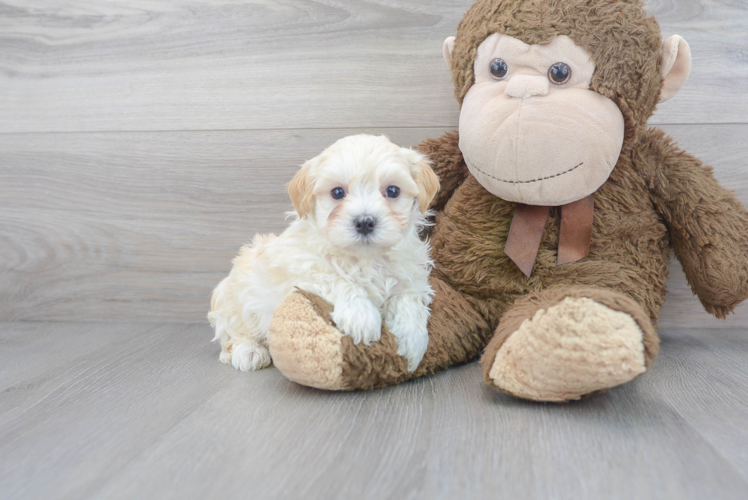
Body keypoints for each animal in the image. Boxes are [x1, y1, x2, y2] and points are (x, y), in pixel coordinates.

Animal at [207, 135, 442, 374]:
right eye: (337, 193)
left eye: (393, 191)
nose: (365, 222)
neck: (366, 259)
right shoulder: (303, 265)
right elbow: (340, 280)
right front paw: (361, 317)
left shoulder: (411, 278)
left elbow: (408, 301)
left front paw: (413, 342)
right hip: (238, 298)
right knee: (234, 335)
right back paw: (249, 351)